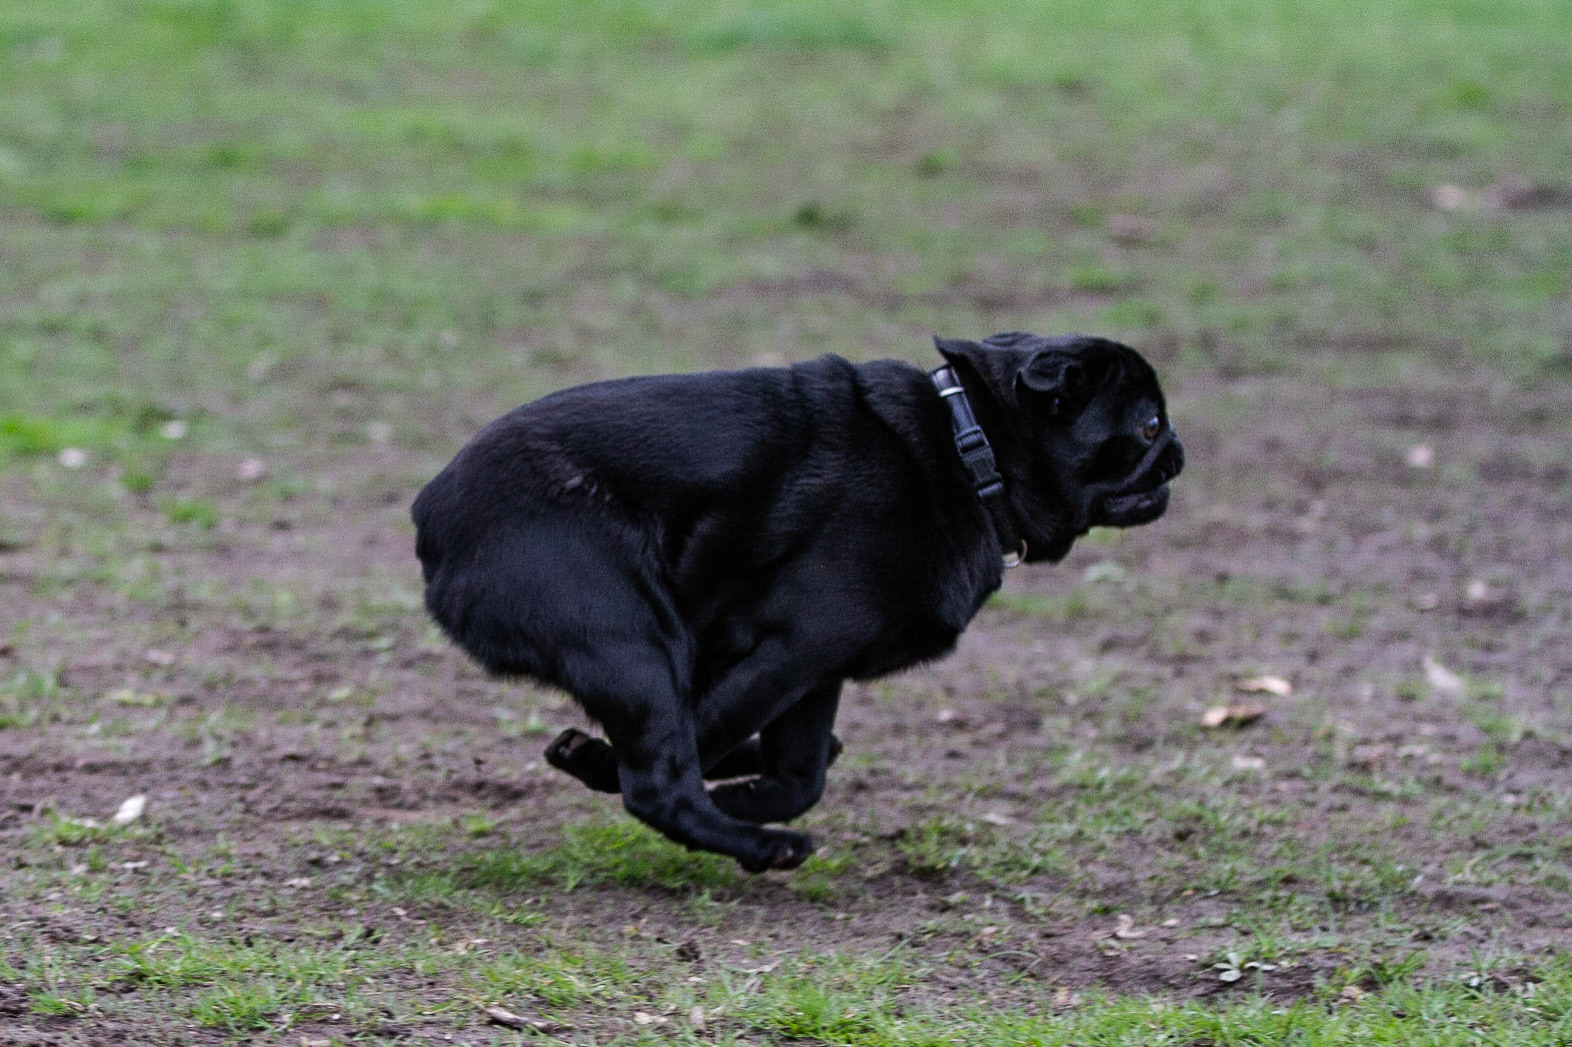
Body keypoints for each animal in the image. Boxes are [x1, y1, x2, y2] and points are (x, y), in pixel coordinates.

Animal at [412, 331, 1183, 871]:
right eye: (1148, 425)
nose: (1178, 449)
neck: (973, 451)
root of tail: (433, 518)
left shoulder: (818, 668)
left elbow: (797, 774)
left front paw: (748, 790)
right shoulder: (791, 646)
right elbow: (702, 739)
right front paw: (616, 769)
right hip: (637, 639)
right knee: (660, 780)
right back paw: (761, 846)